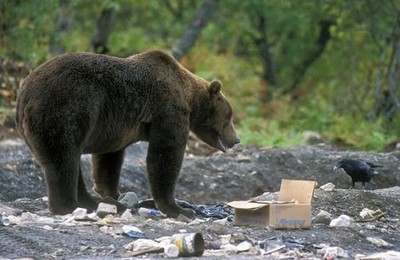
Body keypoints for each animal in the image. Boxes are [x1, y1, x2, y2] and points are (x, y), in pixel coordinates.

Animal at [15, 49, 239, 218]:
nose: (236, 139)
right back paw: (69, 206)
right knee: (62, 159)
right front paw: (178, 208)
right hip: (65, 107)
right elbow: (165, 155)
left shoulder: (113, 124)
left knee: (70, 161)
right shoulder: (168, 110)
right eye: (229, 116)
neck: (189, 98)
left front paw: (112, 192)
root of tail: (23, 92)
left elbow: (109, 158)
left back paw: (93, 202)